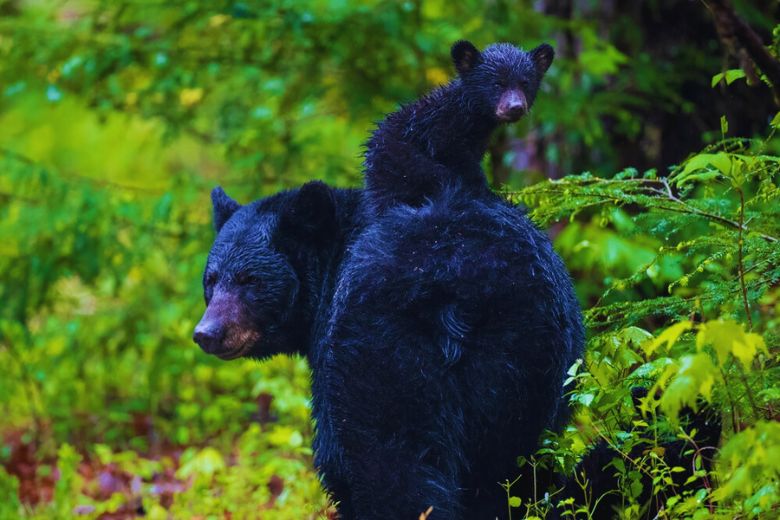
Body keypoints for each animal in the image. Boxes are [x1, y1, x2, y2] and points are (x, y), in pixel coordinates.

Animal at [363, 40, 554, 214]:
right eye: (497, 83)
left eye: (525, 83)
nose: (516, 107)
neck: (469, 115)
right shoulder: (442, 136)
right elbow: (463, 168)